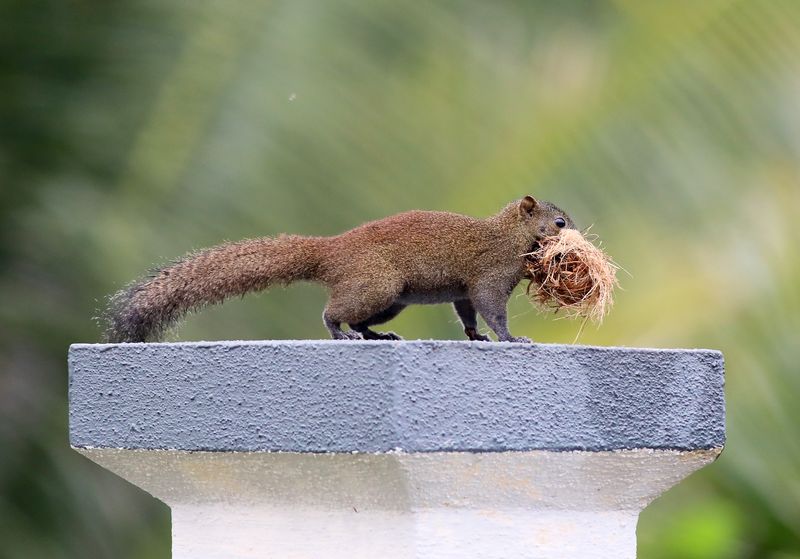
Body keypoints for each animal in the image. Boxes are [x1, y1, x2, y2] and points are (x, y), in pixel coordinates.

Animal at [104, 196, 575, 343]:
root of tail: (332, 250)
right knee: (334, 313)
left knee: (362, 321)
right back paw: (341, 333)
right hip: (377, 286)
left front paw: (476, 338)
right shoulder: (490, 276)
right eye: (559, 222)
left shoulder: (463, 289)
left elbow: (468, 314)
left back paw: (379, 337)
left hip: (390, 300)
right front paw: (512, 338)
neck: (506, 236)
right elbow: (493, 311)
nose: (572, 230)